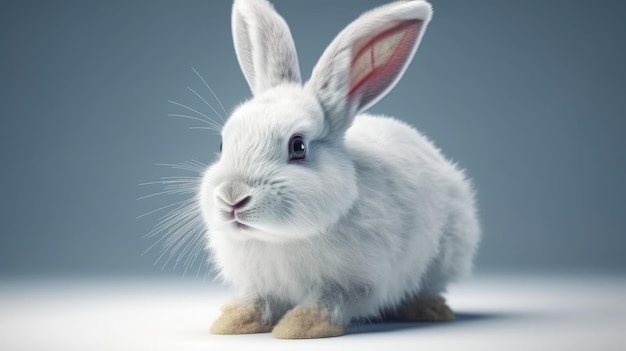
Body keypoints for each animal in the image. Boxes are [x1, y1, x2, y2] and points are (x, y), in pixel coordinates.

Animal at [200, 0, 478, 340]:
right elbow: (259, 301)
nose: (232, 197)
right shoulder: (262, 284)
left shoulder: (356, 283)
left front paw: (299, 327)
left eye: (298, 146)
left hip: (445, 256)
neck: (279, 239)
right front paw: (233, 321)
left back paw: (428, 309)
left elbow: (330, 302)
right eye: (222, 144)